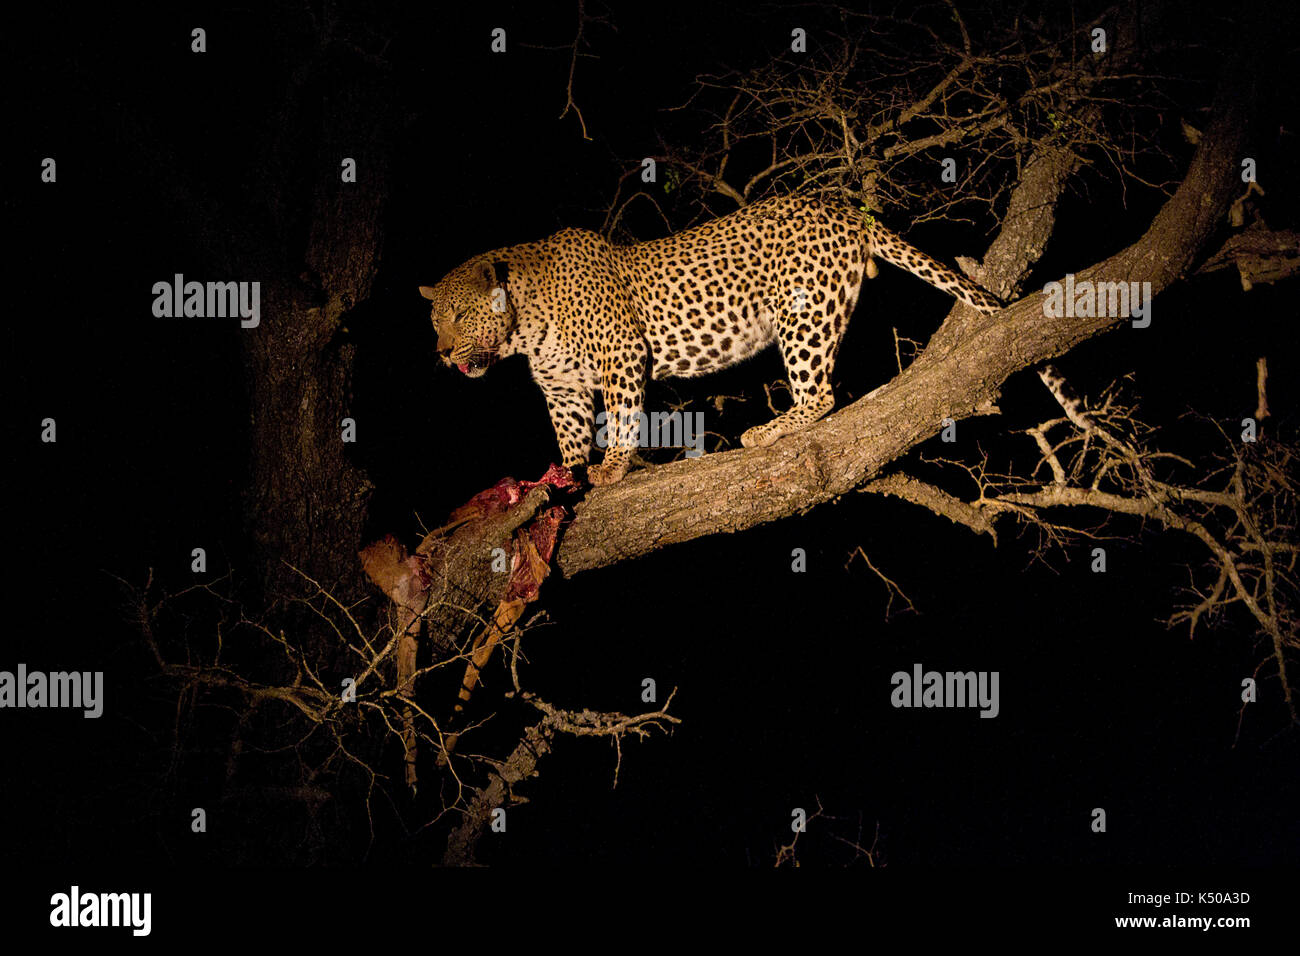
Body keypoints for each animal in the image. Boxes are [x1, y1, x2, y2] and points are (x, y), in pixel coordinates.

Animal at [419, 194, 1001, 485]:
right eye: (435, 322)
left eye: (459, 316)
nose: (441, 354)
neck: (523, 331)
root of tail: (840, 208)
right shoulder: (561, 387)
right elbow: (570, 434)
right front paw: (567, 472)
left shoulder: (622, 354)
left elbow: (623, 417)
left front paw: (612, 467)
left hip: (803, 313)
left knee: (821, 394)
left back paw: (767, 431)